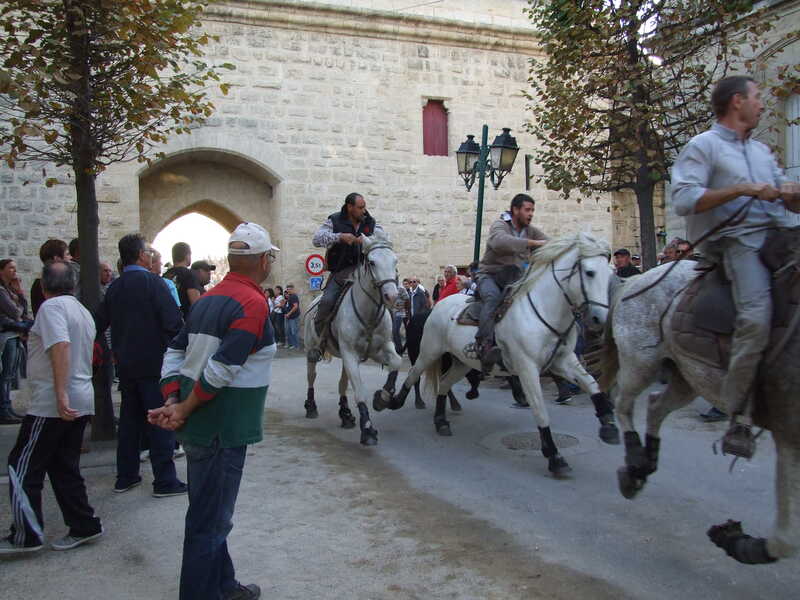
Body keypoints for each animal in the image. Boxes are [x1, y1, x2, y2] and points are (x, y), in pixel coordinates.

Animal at [303, 231, 402, 445]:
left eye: (395, 260)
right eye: (372, 262)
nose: (391, 297)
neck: (369, 313)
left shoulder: (381, 348)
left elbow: (397, 363)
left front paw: (382, 398)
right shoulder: (350, 353)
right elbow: (359, 390)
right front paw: (368, 429)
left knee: (342, 383)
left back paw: (346, 414)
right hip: (312, 351)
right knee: (311, 377)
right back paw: (311, 406)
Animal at [381, 232, 620, 476]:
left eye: (610, 274)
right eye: (589, 272)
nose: (600, 318)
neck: (543, 311)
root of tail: (438, 306)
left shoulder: (563, 360)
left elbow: (591, 383)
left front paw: (608, 424)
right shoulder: (527, 368)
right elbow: (540, 410)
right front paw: (554, 456)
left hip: (462, 362)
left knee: (444, 383)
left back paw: (441, 421)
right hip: (430, 350)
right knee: (413, 374)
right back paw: (394, 401)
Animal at [602, 259, 800, 563]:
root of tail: (634, 280)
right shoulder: (788, 432)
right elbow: (786, 540)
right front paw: (735, 540)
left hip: (688, 376)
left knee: (655, 405)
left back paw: (645, 463)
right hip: (641, 362)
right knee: (622, 402)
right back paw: (634, 465)